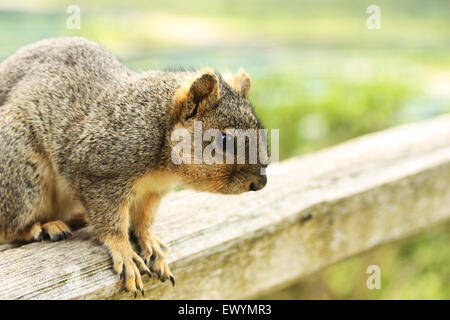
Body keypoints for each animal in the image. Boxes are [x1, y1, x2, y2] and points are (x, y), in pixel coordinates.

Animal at [0, 37, 268, 296]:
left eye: (262, 132)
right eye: (225, 140)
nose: (261, 182)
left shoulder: (152, 192)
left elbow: (144, 220)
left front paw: (151, 242)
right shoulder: (98, 175)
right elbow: (111, 223)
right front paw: (125, 253)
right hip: (20, 173)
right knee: (9, 227)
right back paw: (43, 227)